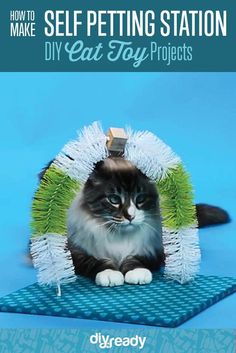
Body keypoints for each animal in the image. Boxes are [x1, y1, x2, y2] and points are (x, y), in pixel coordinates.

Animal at [37, 156, 230, 286]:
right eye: (114, 199)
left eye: (141, 198)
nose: (130, 216)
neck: (117, 237)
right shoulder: (74, 249)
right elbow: (94, 261)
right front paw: (110, 274)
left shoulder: (153, 248)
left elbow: (136, 259)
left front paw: (136, 273)